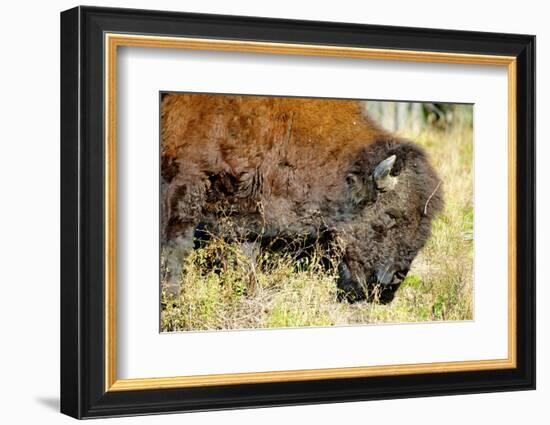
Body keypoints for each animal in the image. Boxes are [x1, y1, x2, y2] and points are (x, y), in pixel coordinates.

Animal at [161, 94, 444, 304]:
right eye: (390, 216)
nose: (395, 278)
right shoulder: (184, 184)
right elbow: (176, 244)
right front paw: (171, 295)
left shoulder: (245, 210)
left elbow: (246, 254)